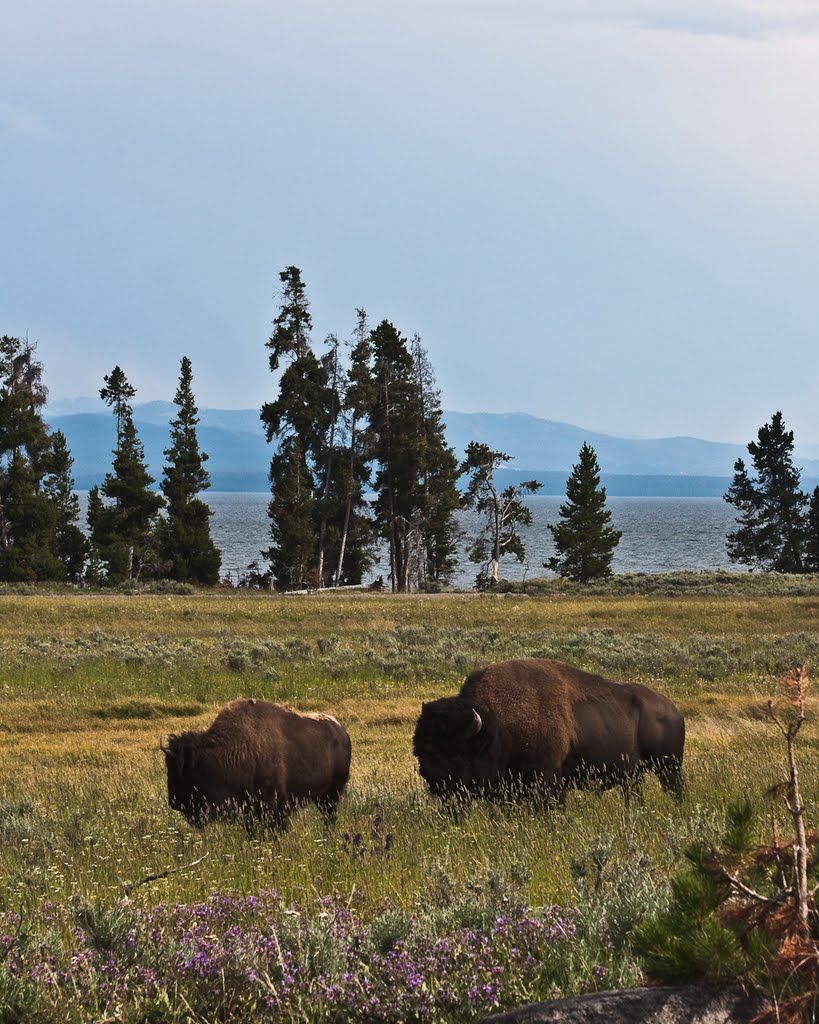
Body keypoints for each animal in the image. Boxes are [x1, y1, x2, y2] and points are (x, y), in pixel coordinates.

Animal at [160, 700, 352, 827]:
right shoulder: (250, 809)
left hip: (332, 795)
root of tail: (341, 731)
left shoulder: (274, 805)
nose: (173, 802)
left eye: (182, 770)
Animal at [413, 659, 687, 802]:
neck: (498, 726)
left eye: (457, 751)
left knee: (674, 788)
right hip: (634, 774)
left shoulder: (548, 779)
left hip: (669, 766)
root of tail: (673, 709)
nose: (430, 774)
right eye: (420, 751)